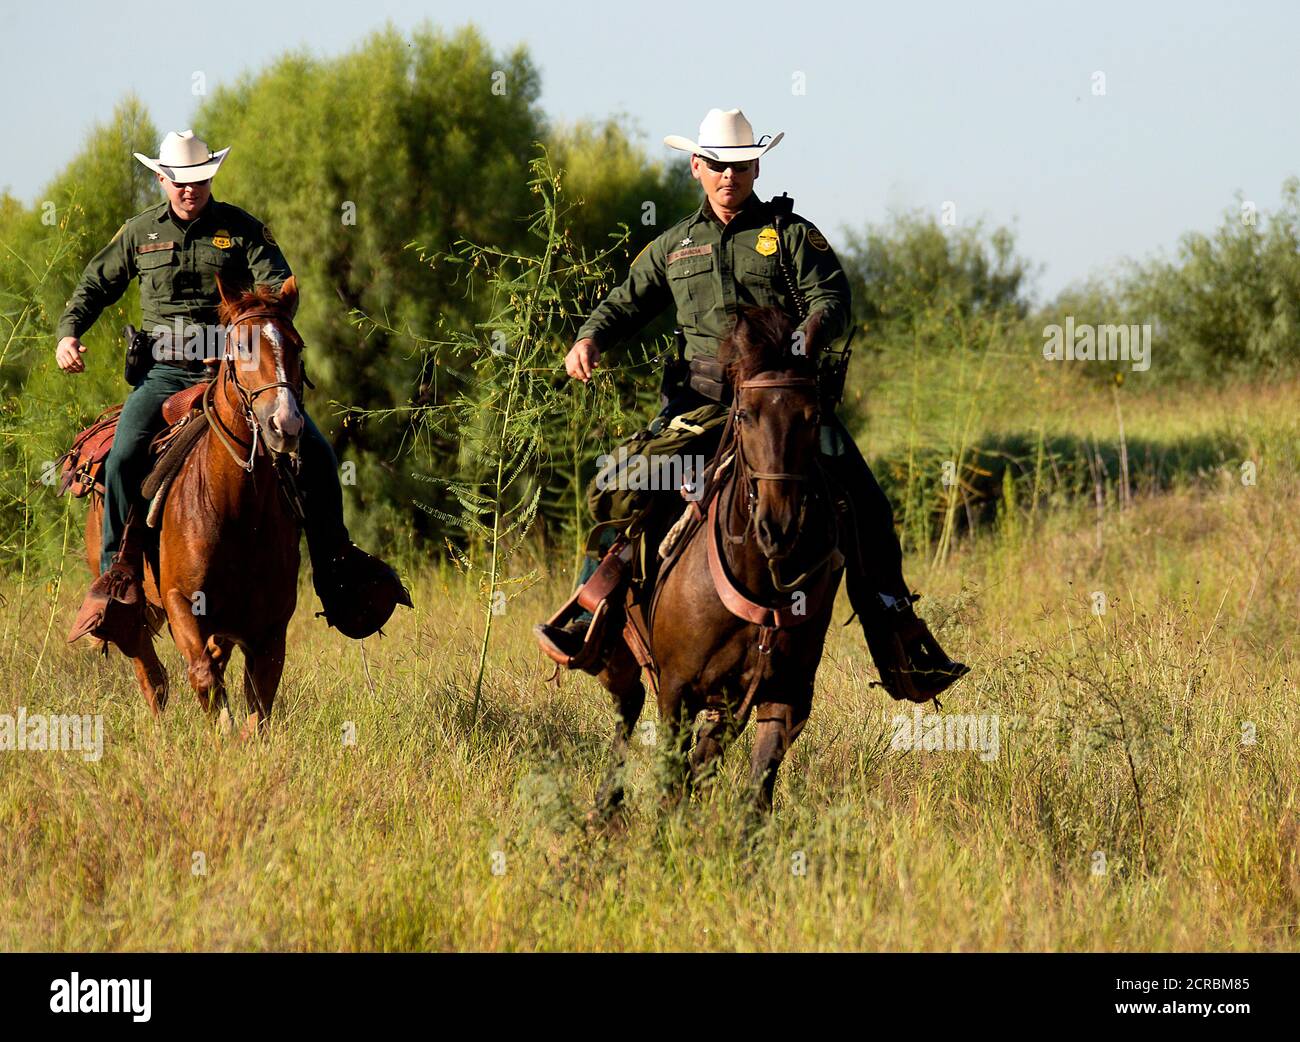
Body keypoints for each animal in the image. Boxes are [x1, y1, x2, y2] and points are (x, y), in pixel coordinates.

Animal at [82, 277, 307, 735]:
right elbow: (203, 677)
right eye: (239, 345)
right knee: (152, 675)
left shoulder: (272, 624)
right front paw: (221, 732)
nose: (285, 424)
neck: (239, 510)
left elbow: (259, 701)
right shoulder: (181, 602)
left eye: (296, 346)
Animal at [592, 307, 845, 818]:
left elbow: (756, 792)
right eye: (745, 415)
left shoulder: (783, 698)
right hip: (622, 660)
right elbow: (671, 777)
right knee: (627, 713)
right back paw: (605, 806)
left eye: (812, 418)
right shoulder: (676, 691)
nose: (777, 527)